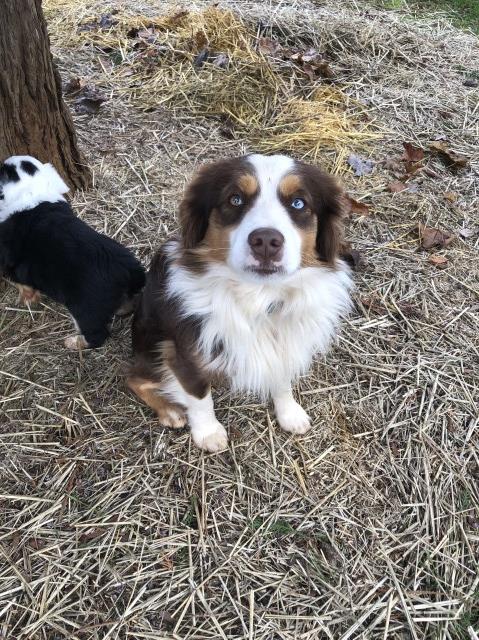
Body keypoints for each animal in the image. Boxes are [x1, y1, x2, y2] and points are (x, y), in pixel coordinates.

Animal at [0, 156, 146, 350]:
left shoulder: (11, 261)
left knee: (97, 336)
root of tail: (130, 271)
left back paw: (73, 342)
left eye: (3, 170)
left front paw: (28, 298)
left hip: (84, 310)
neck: (32, 189)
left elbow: (20, 282)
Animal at [128, 156, 352, 452]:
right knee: (134, 378)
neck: (259, 298)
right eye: (235, 199)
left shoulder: (284, 343)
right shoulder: (184, 353)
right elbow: (199, 397)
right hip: (152, 349)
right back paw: (170, 410)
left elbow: (282, 379)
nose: (266, 241)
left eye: (298, 203)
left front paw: (289, 413)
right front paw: (208, 432)